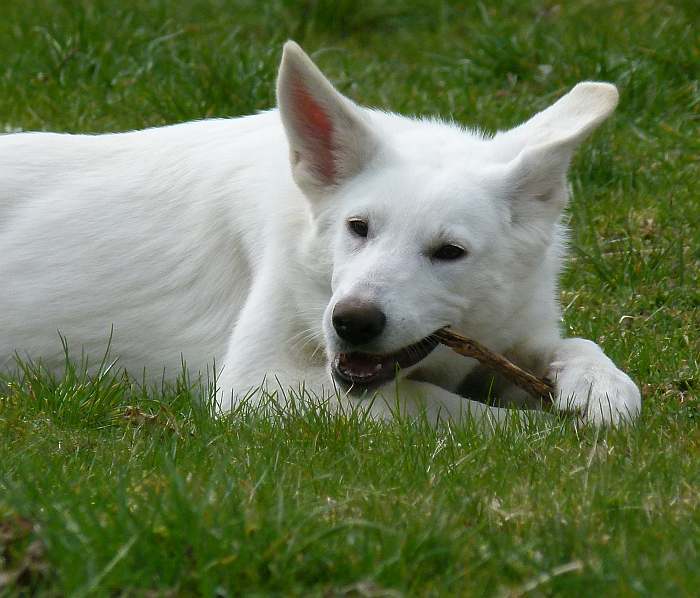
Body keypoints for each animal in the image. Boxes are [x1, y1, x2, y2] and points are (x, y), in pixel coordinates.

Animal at [0, 42, 640, 426]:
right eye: (358, 228)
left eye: (449, 252)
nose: (352, 322)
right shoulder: (257, 385)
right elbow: (440, 406)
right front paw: (541, 433)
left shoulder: (514, 335)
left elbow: (585, 353)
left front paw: (599, 388)